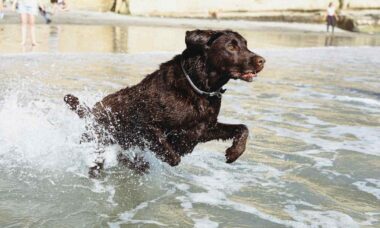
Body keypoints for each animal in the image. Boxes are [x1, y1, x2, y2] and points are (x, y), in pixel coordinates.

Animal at [63, 29, 266, 176]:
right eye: (231, 47)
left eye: (246, 44)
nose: (262, 61)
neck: (198, 88)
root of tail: (92, 111)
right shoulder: (147, 125)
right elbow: (172, 155)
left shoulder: (205, 129)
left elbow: (243, 128)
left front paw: (234, 152)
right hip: (97, 139)